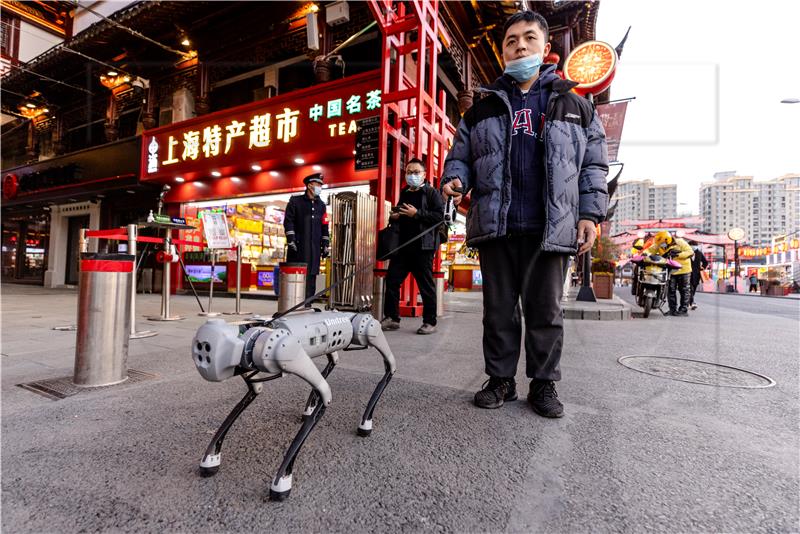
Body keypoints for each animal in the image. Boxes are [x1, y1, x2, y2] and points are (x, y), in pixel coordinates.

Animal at [191, 310, 396, 502]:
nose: (204, 347)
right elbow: (253, 393)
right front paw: (210, 458)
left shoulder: (287, 350)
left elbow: (326, 394)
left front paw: (282, 480)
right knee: (334, 359)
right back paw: (309, 409)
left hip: (366, 329)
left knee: (390, 364)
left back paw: (365, 420)